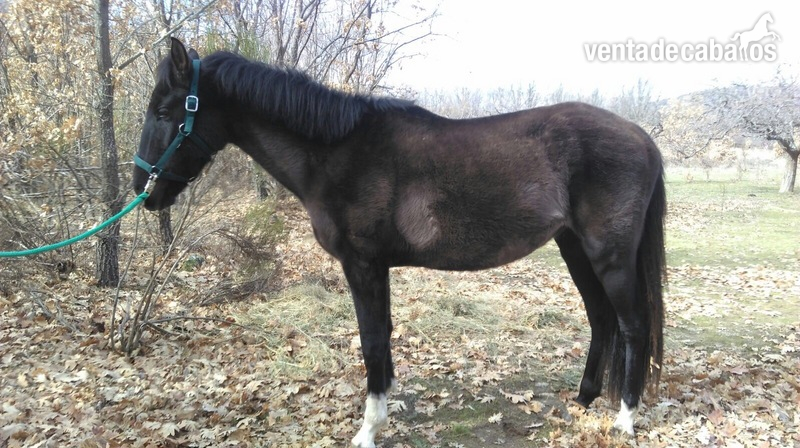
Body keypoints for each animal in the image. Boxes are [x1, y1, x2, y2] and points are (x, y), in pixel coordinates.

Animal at [133, 38, 666, 447]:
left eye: (165, 110)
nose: (145, 191)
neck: (337, 152)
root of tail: (641, 137)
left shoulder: (363, 264)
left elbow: (371, 340)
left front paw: (368, 429)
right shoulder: (377, 267)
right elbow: (384, 336)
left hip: (609, 256)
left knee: (633, 325)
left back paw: (625, 420)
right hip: (575, 248)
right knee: (602, 320)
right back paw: (583, 399)